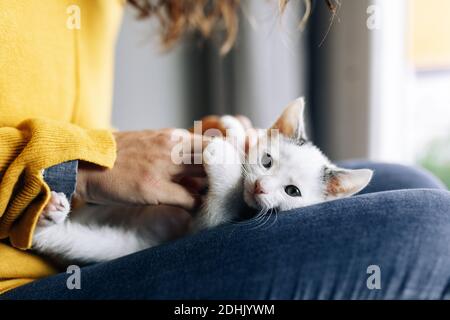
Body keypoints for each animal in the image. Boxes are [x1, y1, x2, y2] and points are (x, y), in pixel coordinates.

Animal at [33, 98, 374, 264]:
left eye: (292, 191)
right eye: (267, 161)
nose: (260, 187)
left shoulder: (203, 226)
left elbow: (218, 206)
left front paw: (223, 154)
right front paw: (229, 129)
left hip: (118, 243)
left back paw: (45, 217)